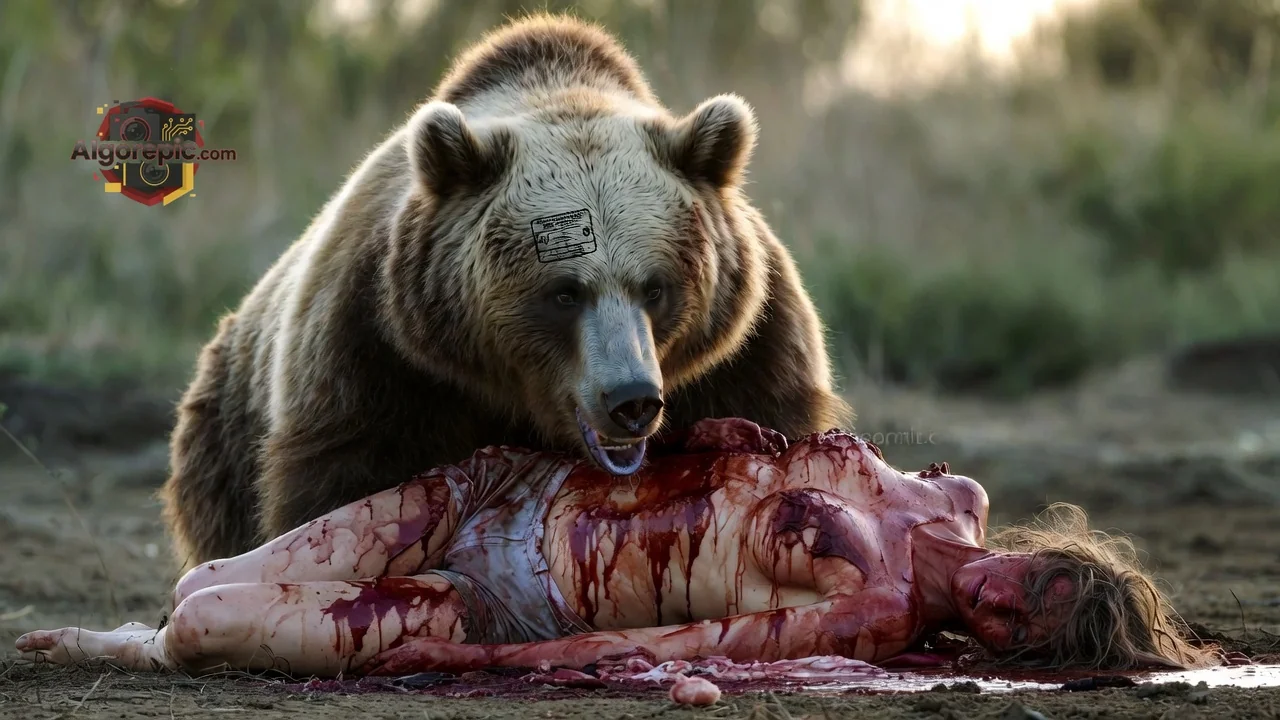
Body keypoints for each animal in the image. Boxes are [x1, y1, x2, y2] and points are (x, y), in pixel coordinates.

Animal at [159, 13, 853, 571]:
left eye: (655, 287)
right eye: (564, 292)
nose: (631, 400)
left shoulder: (749, 350)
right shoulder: (378, 351)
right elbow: (345, 481)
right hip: (220, 431)